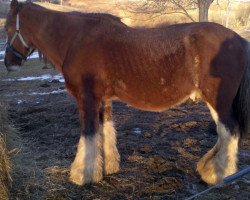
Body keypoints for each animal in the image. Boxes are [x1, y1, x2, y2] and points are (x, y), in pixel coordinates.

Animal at [3, 0, 250, 187]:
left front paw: (82, 175)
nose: (8, 63)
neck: (75, 39)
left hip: (218, 101)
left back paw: (218, 174)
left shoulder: (87, 99)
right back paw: (208, 167)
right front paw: (107, 168)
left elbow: (89, 135)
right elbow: (105, 131)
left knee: (229, 132)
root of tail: (238, 40)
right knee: (224, 134)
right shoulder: (103, 100)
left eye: (7, 28)